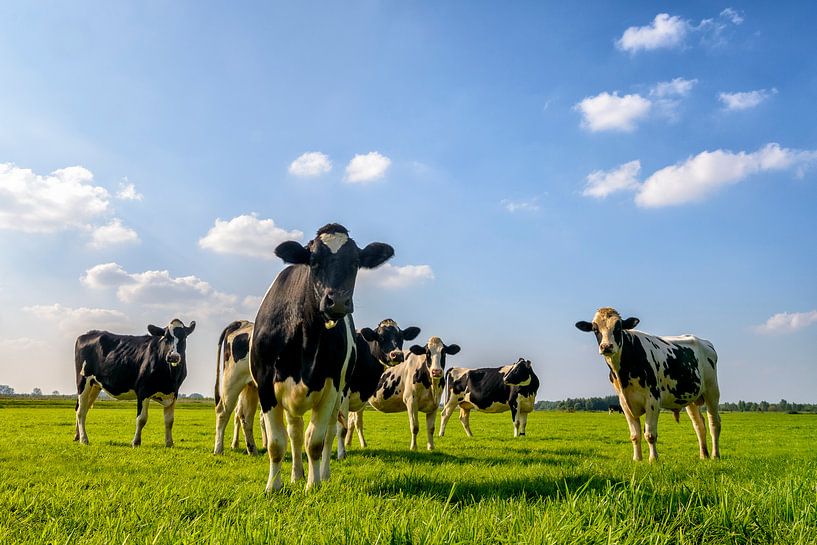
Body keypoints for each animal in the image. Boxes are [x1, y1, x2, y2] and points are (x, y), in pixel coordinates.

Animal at [72, 318, 195, 446]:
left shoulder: (174, 393)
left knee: (83, 408)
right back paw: (84, 439)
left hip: (94, 385)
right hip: (83, 381)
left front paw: (169, 443)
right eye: (166, 337)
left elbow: (169, 420)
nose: (173, 357)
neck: (170, 376)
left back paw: (77, 436)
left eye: (184, 337)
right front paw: (136, 442)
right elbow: (141, 419)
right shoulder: (143, 391)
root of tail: (87, 334)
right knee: (81, 411)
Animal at [214, 318, 258, 454]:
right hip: (232, 381)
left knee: (245, 417)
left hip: (251, 386)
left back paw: (252, 450)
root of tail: (241, 322)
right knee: (222, 412)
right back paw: (218, 449)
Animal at [250, 223, 394, 490]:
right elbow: (277, 443)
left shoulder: (331, 387)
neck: (305, 336)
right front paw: (273, 487)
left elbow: (315, 442)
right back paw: (296, 475)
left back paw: (321, 475)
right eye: (314, 261)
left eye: (355, 262)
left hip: (340, 395)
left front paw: (313, 485)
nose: (337, 301)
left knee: (328, 433)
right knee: (295, 433)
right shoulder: (265, 384)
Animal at [334, 318, 420, 460]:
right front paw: (341, 454)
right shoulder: (342, 394)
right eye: (381, 337)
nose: (397, 355)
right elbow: (341, 428)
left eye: (401, 337)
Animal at [572, 306, 720, 460]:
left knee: (714, 423)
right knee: (699, 425)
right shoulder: (624, 403)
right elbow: (635, 435)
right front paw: (637, 459)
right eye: (595, 329)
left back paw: (715, 455)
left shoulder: (653, 400)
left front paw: (653, 459)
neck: (624, 374)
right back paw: (703, 455)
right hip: (690, 398)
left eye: (618, 327)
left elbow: (650, 434)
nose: (606, 346)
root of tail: (703, 341)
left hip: (712, 391)